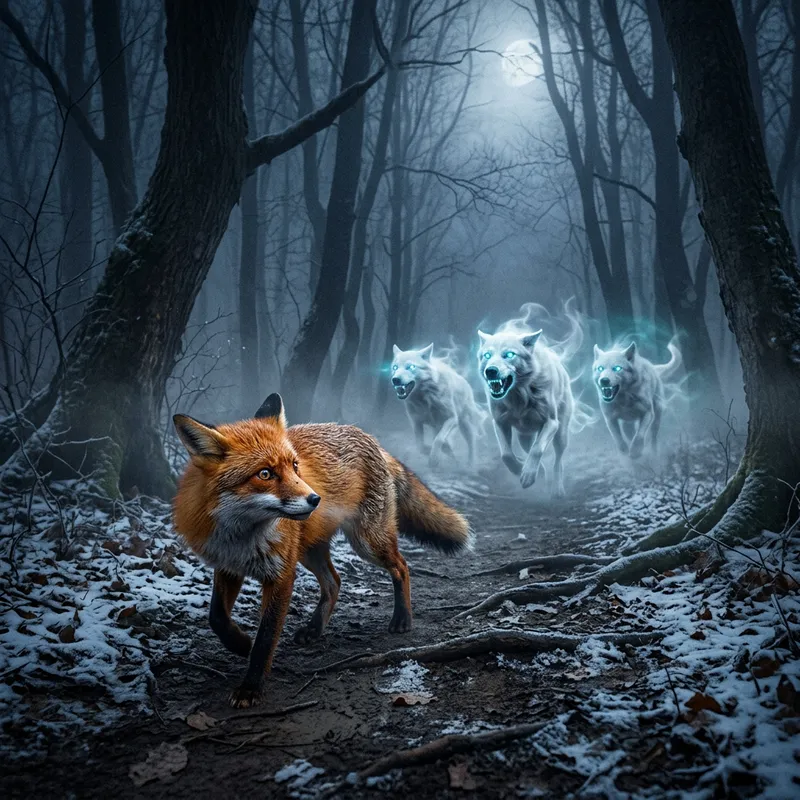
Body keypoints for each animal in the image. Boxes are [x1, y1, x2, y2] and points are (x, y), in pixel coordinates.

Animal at [172, 393, 471, 708]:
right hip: (309, 551)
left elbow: (265, 638)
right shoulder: (228, 565)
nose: (315, 499)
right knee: (334, 581)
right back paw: (315, 629)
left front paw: (250, 687)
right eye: (265, 474)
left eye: (294, 466)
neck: (241, 536)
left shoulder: (281, 575)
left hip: (367, 542)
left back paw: (402, 619)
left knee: (401, 566)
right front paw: (240, 643)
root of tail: (368, 437)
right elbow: (216, 616)